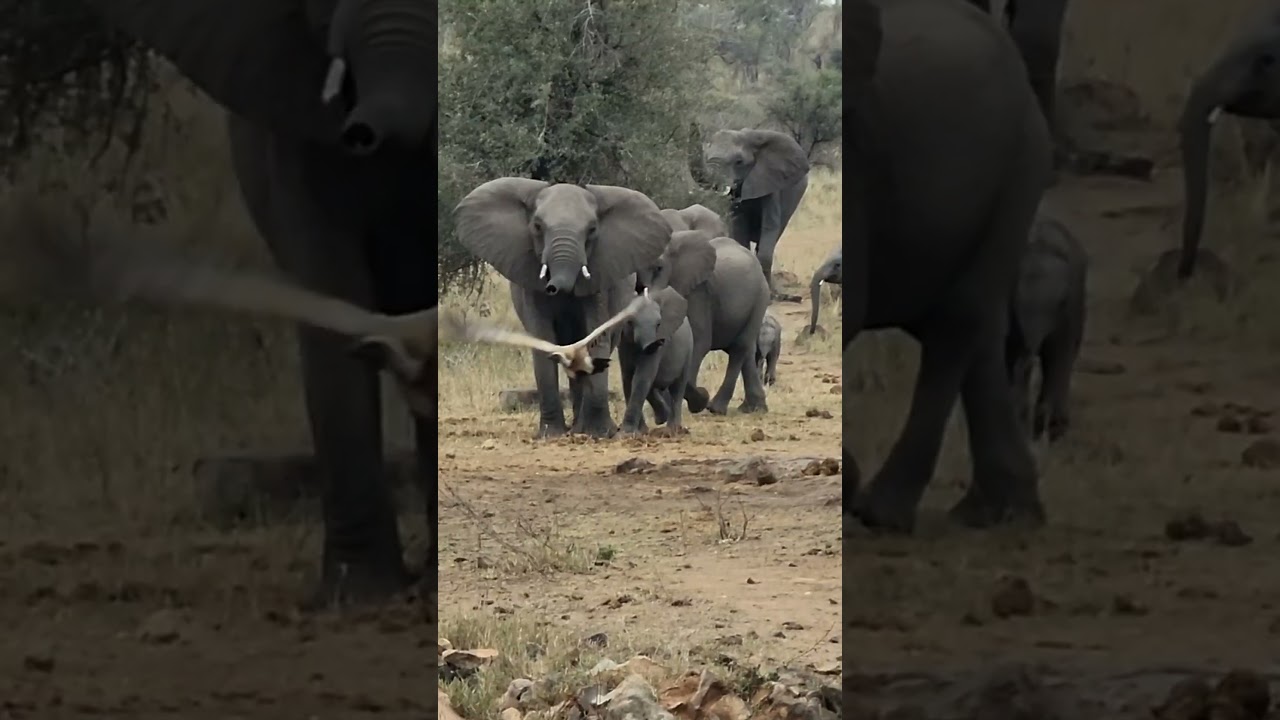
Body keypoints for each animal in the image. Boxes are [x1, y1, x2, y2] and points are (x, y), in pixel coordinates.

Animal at [454, 178, 672, 438]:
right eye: (537, 226)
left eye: (592, 230)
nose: (553, 287)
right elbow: (542, 337)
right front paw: (551, 434)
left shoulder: (600, 276)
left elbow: (596, 333)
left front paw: (599, 433)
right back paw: (576, 426)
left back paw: (582, 427)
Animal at [616, 287, 695, 434]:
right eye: (630, 322)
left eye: (659, 324)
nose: (651, 345)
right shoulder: (623, 342)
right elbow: (628, 378)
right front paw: (639, 432)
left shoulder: (661, 344)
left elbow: (642, 377)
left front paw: (626, 434)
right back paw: (662, 418)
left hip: (689, 349)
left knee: (678, 387)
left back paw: (672, 430)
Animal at [637, 230, 771, 416]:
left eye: (659, 268)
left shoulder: (698, 292)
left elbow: (699, 342)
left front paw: (695, 402)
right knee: (747, 349)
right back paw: (754, 408)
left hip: (760, 297)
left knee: (740, 347)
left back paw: (716, 408)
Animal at [702, 129, 810, 295]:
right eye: (706, 157)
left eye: (739, 161)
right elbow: (739, 227)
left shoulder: (771, 182)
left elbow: (769, 226)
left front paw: (770, 294)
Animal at [843, 0, 1054, 534]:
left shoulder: (859, 159)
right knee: (982, 329)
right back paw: (999, 512)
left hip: (1020, 166)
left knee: (957, 324)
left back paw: (882, 513)